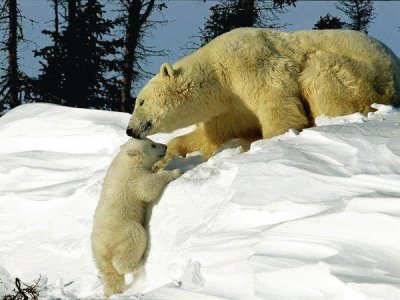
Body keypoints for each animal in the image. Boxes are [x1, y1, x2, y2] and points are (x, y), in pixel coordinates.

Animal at [127, 28, 400, 163]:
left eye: (141, 101)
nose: (130, 130)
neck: (218, 71)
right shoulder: (231, 107)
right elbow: (216, 134)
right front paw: (168, 156)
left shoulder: (250, 64)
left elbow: (277, 102)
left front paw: (270, 142)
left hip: (361, 76)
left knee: (320, 72)